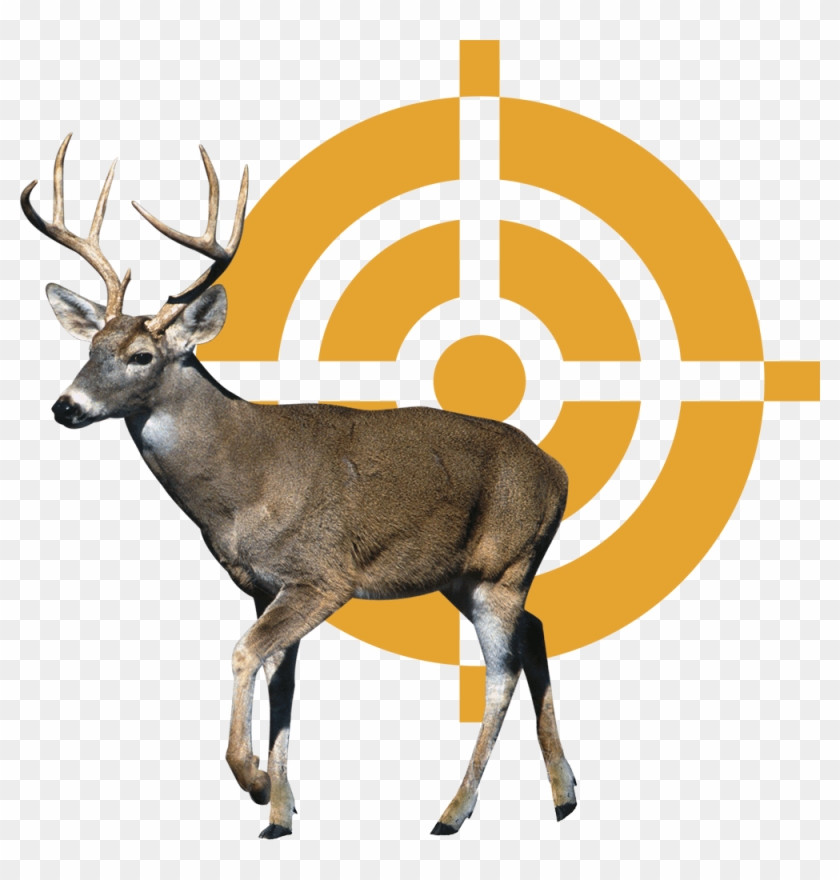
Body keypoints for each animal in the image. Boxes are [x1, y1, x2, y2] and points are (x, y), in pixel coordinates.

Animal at [22, 135, 578, 839]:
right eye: (91, 347)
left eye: (141, 356)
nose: (65, 406)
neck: (242, 487)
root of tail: (558, 470)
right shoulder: (262, 585)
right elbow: (280, 680)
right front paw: (281, 812)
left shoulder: (323, 574)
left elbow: (244, 655)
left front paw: (254, 780)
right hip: (467, 574)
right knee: (535, 631)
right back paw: (563, 793)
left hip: (504, 565)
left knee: (501, 669)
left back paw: (453, 812)